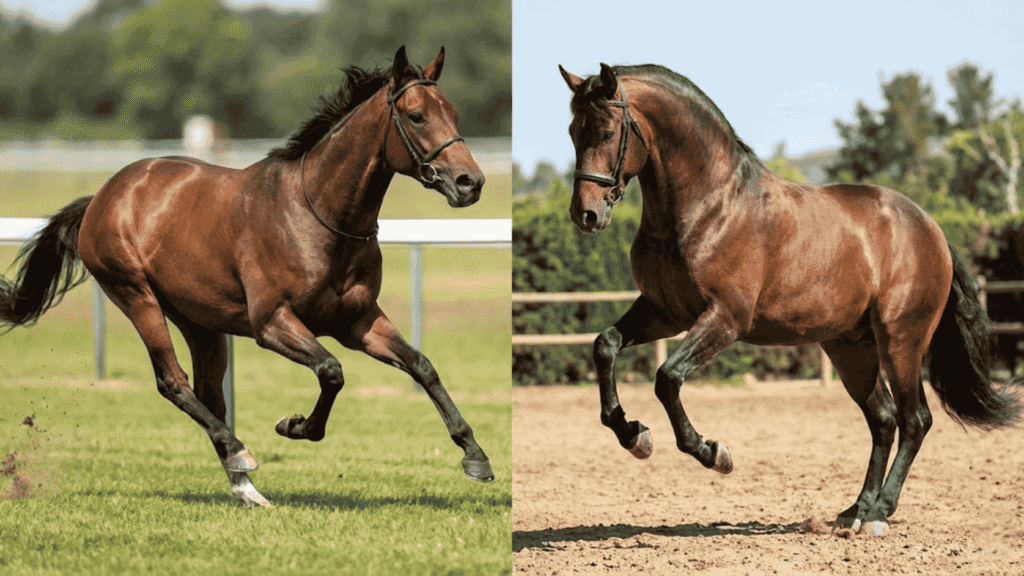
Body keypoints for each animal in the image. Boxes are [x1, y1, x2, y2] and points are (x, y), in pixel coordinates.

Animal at [0, 46, 494, 508]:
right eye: (416, 116)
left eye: (452, 112)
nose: (470, 182)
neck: (318, 214)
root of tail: (103, 197)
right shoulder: (271, 323)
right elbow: (331, 371)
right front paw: (295, 425)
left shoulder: (357, 321)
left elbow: (421, 366)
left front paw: (475, 456)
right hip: (135, 293)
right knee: (173, 381)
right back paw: (239, 453)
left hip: (199, 321)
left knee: (207, 392)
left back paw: (245, 485)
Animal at [558, 62, 1020, 536]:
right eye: (574, 131)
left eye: (608, 131)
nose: (586, 214)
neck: (708, 206)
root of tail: (931, 228)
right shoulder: (664, 311)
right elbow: (605, 346)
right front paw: (633, 434)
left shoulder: (725, 319)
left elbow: (667, 378)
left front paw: (714, 453)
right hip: (851, 348)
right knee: (884, 420)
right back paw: (855, 511)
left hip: (901, 340)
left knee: (915, 421)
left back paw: (879, 513)